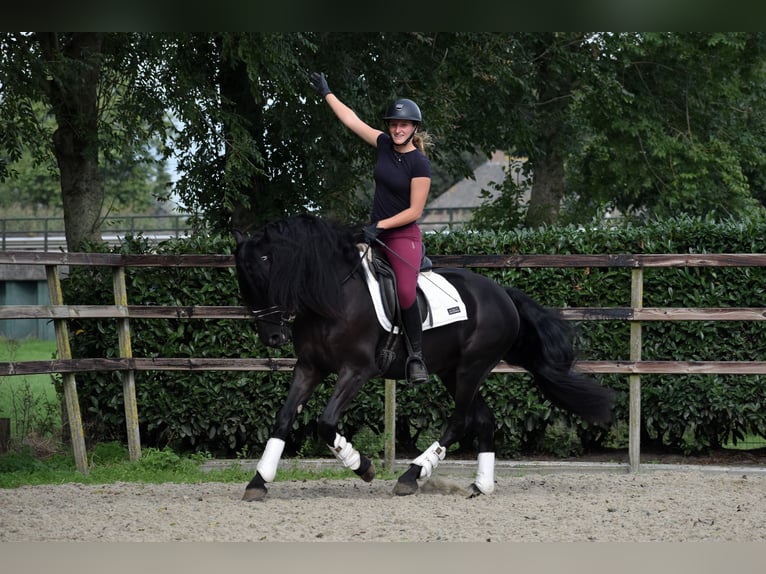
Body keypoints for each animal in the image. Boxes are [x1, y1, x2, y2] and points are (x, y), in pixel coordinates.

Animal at [234, 214, 616, 502]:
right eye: (242, 278)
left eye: (267, 270)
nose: (272, 337)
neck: (332, 296)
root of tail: (502, 294)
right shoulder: (310, 367)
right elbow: (283, 419)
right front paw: (258, 482)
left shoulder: (356, 369)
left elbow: (326, 422)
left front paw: (363, 466)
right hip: (453, 371)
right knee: (483, 419)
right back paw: (480, 485)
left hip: (471, 368)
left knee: (460, 421)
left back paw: (411, 475)